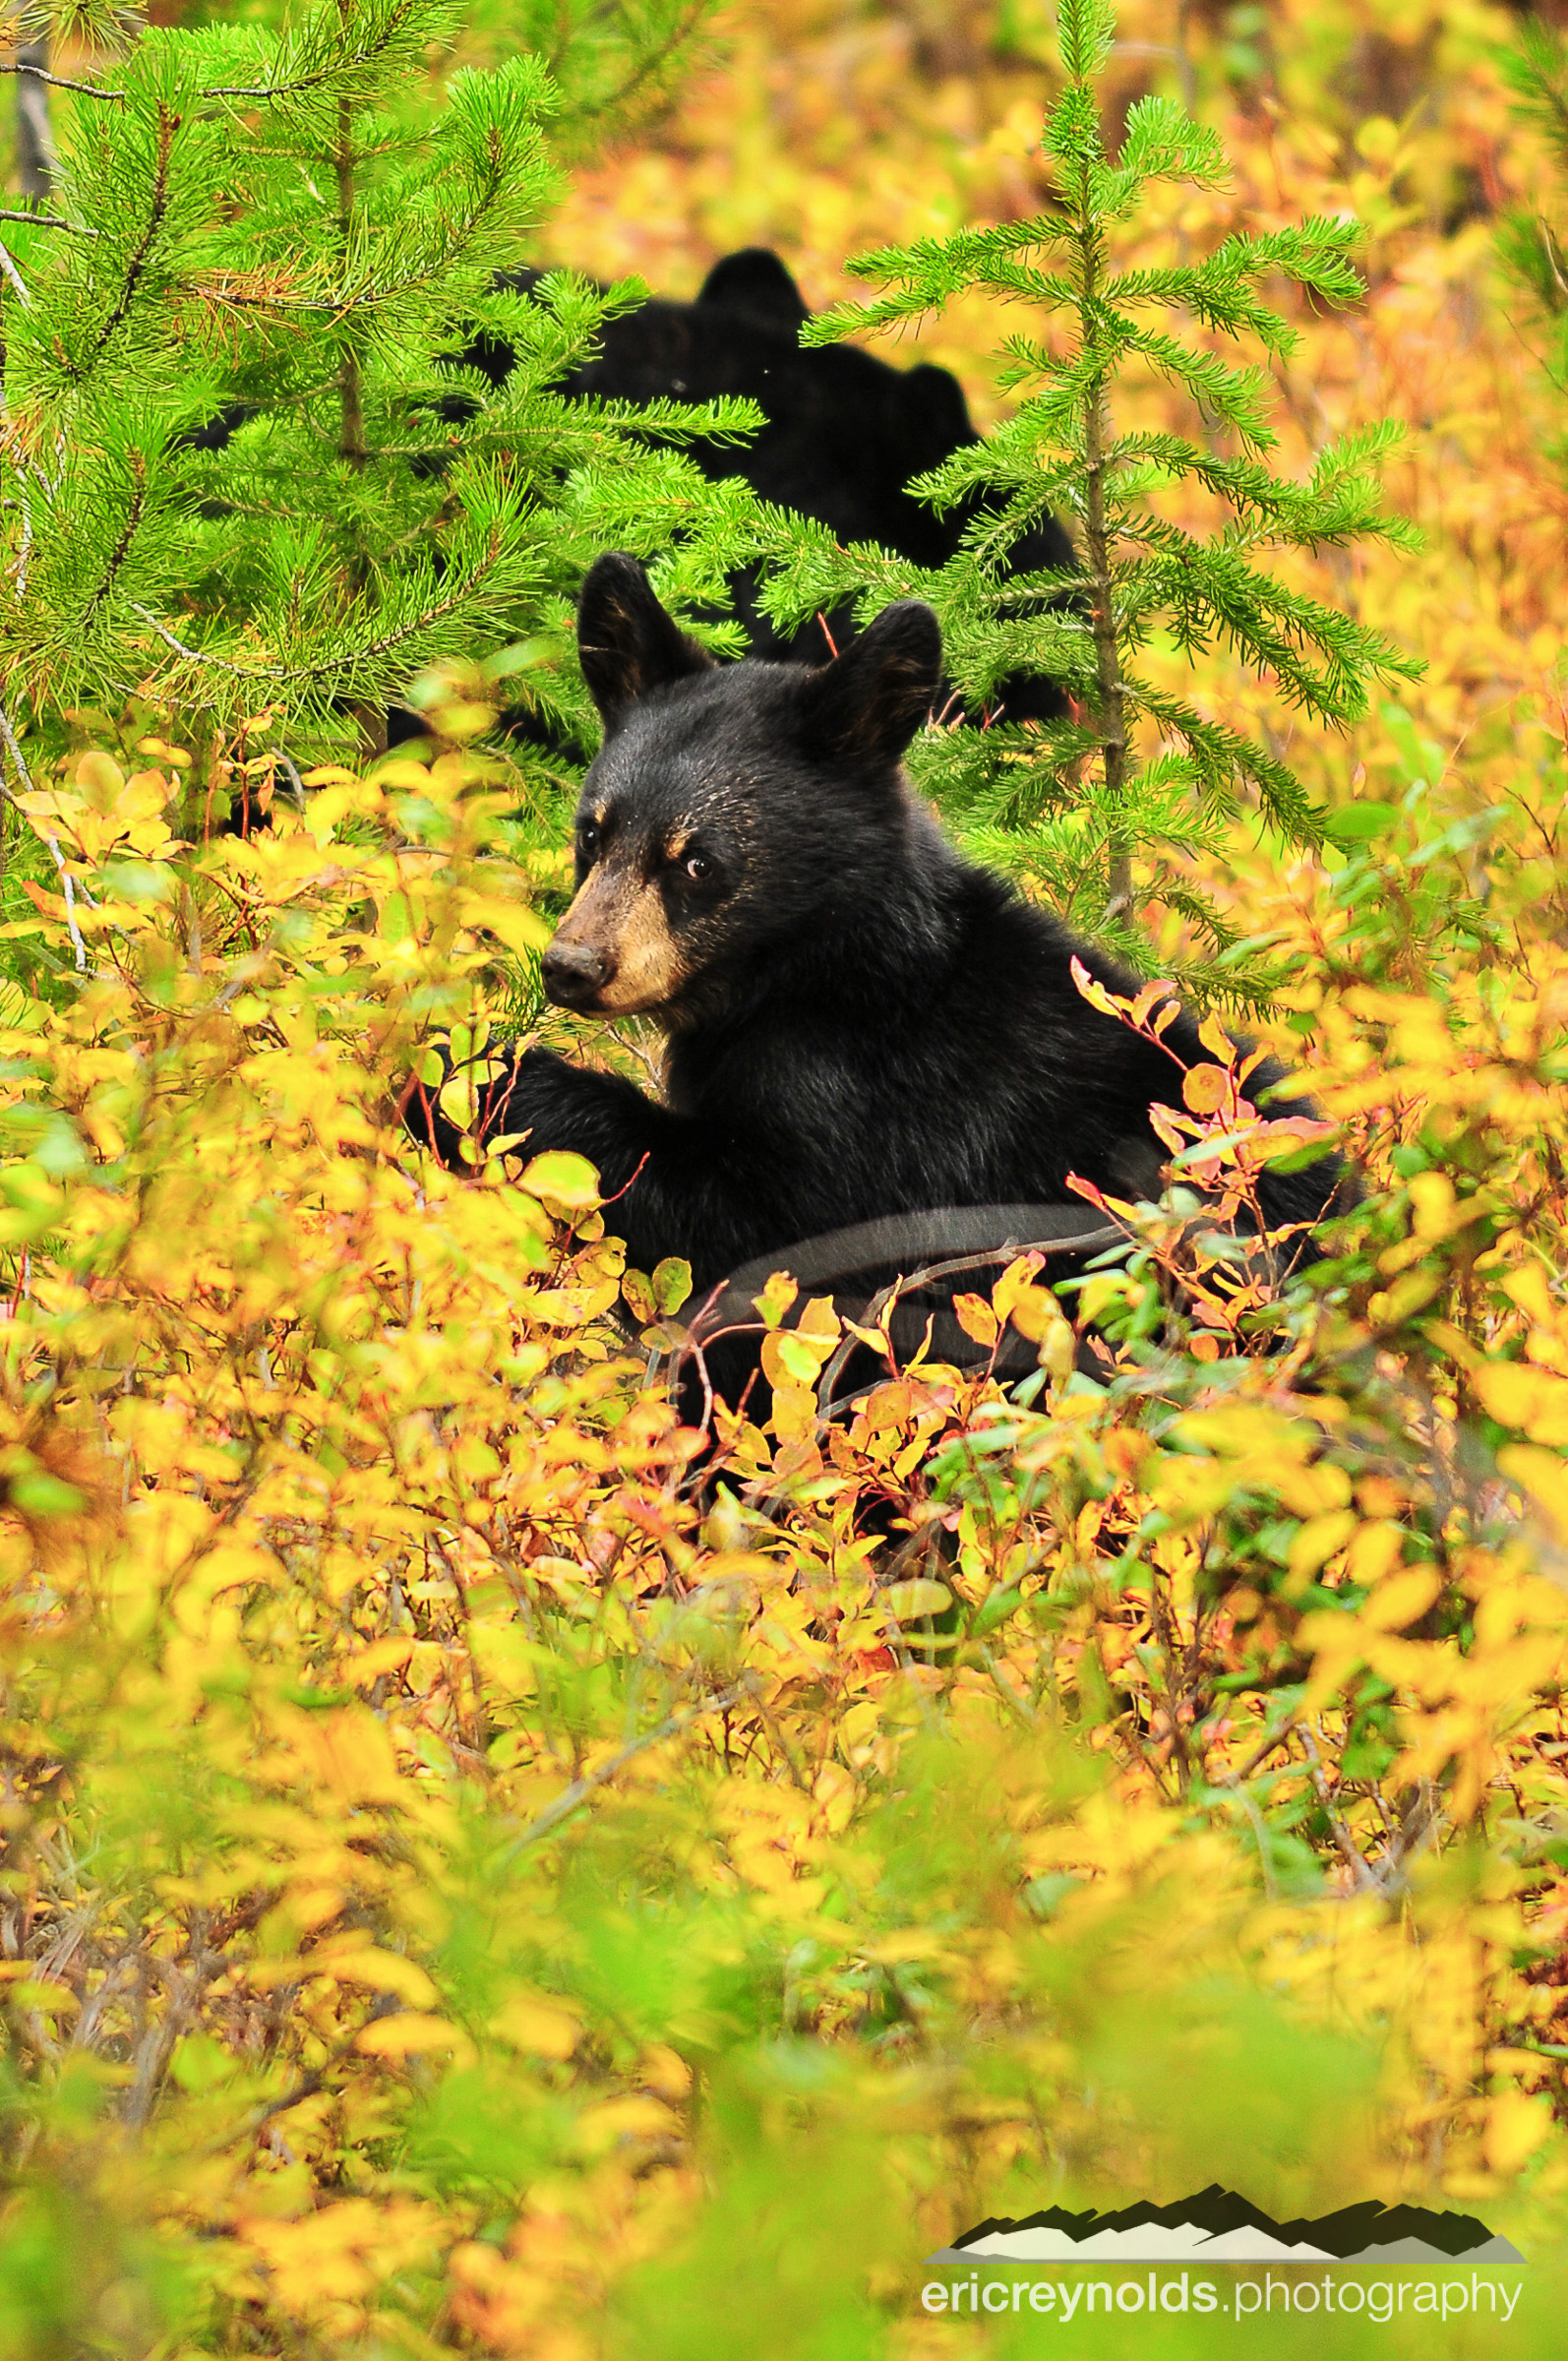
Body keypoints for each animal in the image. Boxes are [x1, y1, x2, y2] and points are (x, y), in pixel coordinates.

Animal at [415, 552, 1351, 1312]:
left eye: (699, 863)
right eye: (592, 833)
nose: (572, 966)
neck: (827, 973)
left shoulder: (883, 1127)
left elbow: (762, 1231)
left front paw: (473, 1067)